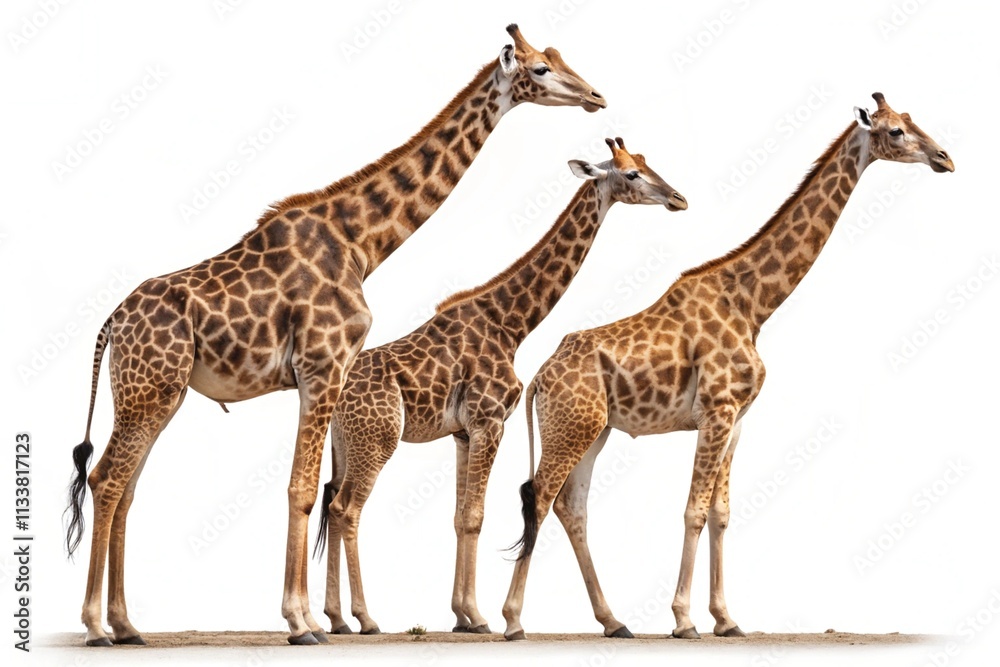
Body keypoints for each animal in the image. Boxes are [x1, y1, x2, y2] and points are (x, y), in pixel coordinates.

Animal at [61, 24, 606, 647]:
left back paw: (127, 625)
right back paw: (96, 626)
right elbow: (302, 491)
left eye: (559, 58)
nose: (595, 96)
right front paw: (301, 624)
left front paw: (311, 619)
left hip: (157, 395)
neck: (360, 243)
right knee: (106, 479)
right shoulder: (322, 367)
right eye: (540, 69)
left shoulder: (324, 376)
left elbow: (307, 491)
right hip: (147, 390)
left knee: (125, 487)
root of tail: (111, 323)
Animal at [313, 137, 687, 635]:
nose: (678, 199)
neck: (511, 324)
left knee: (332, 503)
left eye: (646, 163)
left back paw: (336, 618)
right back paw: (365, 617)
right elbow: (476, 516)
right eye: (630, 174)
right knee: (346, 509)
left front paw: (460, 615)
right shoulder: (489, 420)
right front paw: (479, 616)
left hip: (344, 441)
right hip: (377, 439)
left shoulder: (462, 432)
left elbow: (459, 517)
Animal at [501, 93, 954, 641]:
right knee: (540, 497)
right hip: (569, 428)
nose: (945, 158)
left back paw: (614, 622)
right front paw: (683, 620)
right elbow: (693, 511)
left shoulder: (737, 418)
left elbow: (721, 513)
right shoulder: (716, 411)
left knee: (572, 506)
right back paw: (513, 621)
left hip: (593, 428)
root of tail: (539, 378)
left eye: (910, 120)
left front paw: (726, 619)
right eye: (895, 131)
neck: (754, 305)